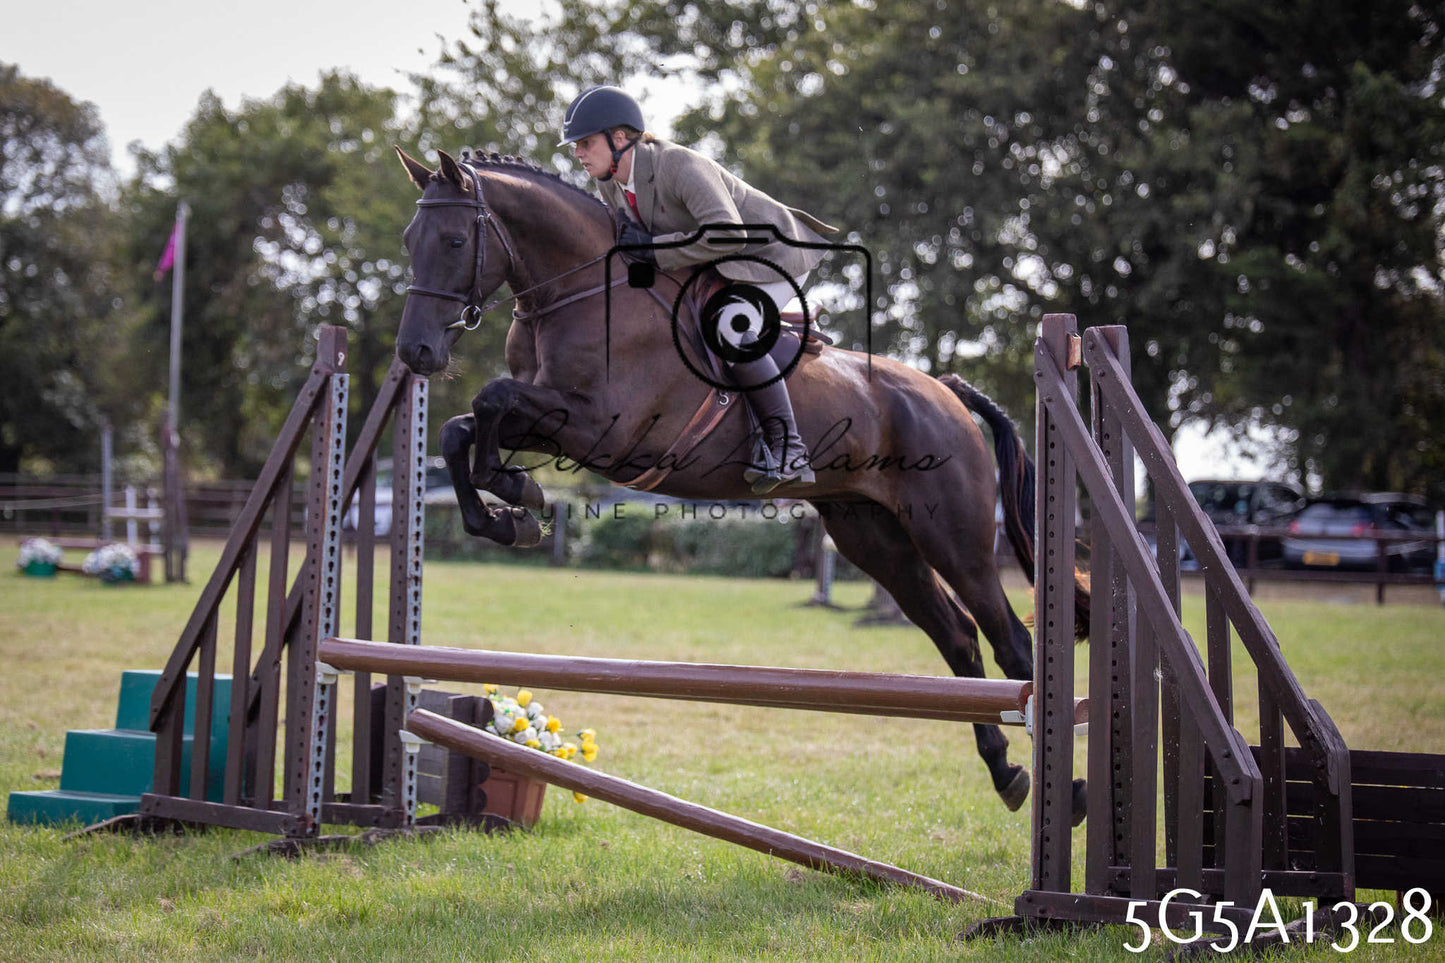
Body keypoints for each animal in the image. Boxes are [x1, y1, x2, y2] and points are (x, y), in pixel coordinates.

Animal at [392, 147, 1089, 820]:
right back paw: (1006, 774)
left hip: (953, 537)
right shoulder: (551, 421)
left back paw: (1068, 790)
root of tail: (944, 390)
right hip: (874, 537)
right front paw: (511, 510)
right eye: (408, 239)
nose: (416, 354)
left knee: (1012, 645)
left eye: (454, 240)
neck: (581, 292)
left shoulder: (600, 429)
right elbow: (462, 427)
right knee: (957, 637)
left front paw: (517, 499)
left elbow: (489, 399)